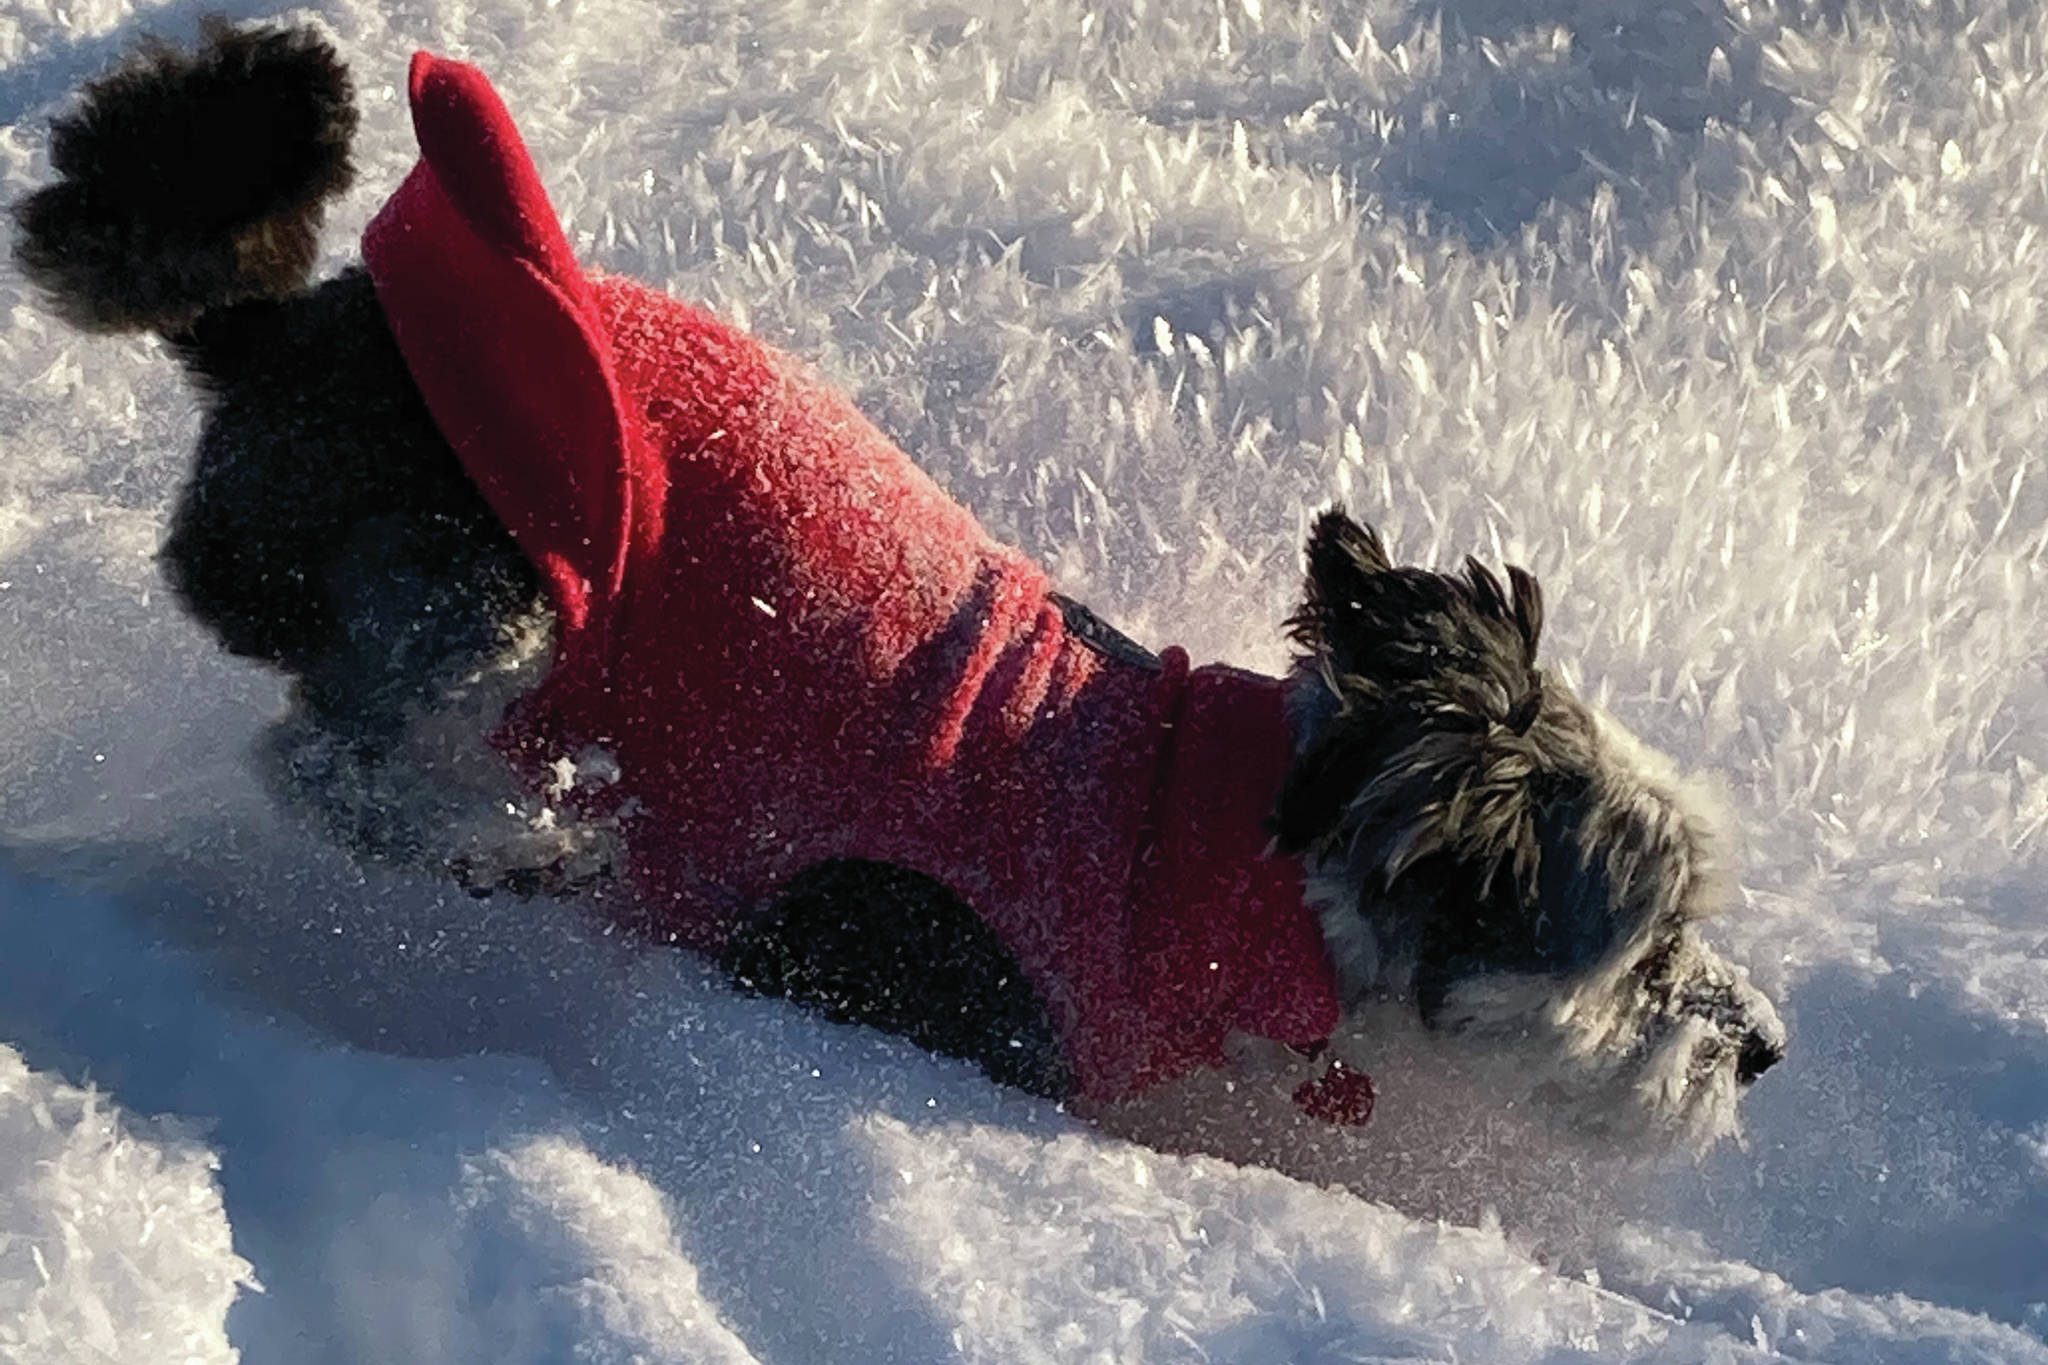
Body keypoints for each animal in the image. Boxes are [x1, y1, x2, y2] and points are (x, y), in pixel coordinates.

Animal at [12, 24, 1777, 1146]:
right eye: (1646, 957)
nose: (1764, 1044)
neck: (1255, 856)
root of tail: (274, 335)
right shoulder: (916, 985)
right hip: (493, 575)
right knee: (320, 753)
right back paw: (506, 843)